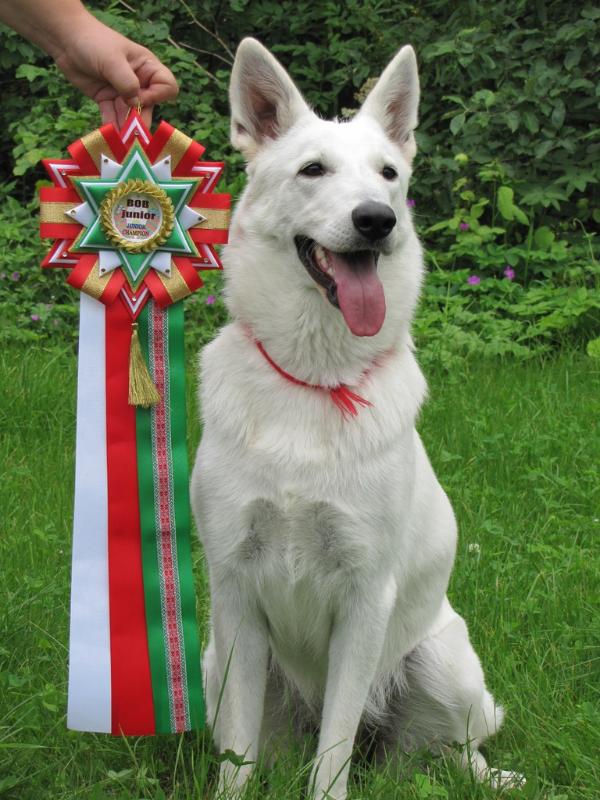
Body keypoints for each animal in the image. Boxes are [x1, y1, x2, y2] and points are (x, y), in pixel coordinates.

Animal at [190, 37, 516, 800]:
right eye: (313, 169)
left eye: (389, 175)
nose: (377, 219)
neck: (315, 383)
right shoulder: (235, 591)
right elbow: (238, 754)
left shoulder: (366, 597)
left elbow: (333, 750)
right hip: (217, 660)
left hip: (444, 663)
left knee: (452, 752)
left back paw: (495, 777)